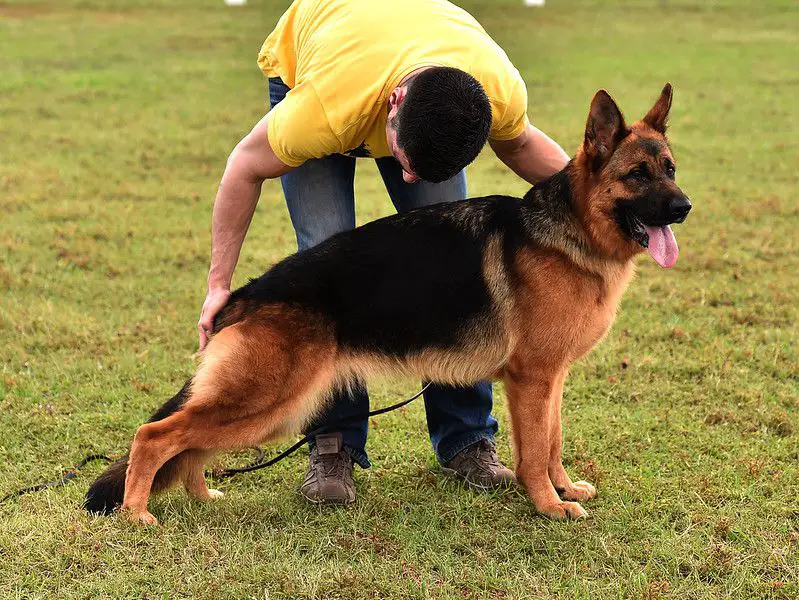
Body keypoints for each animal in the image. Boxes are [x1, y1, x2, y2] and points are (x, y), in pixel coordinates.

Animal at [84, 83, 692, 524]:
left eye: (670, 169)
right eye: (636, 175)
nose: (684, 207)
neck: (572, 232)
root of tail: (241, 294)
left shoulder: (550, 379)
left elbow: (554, 442)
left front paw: (563, 488)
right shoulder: (532, 380)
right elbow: (536, 451)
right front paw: (548, 505)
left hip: (261, 407)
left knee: (188, 444)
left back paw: (202, 497)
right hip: (268, 401)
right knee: (156, 435)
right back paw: (137, 514)